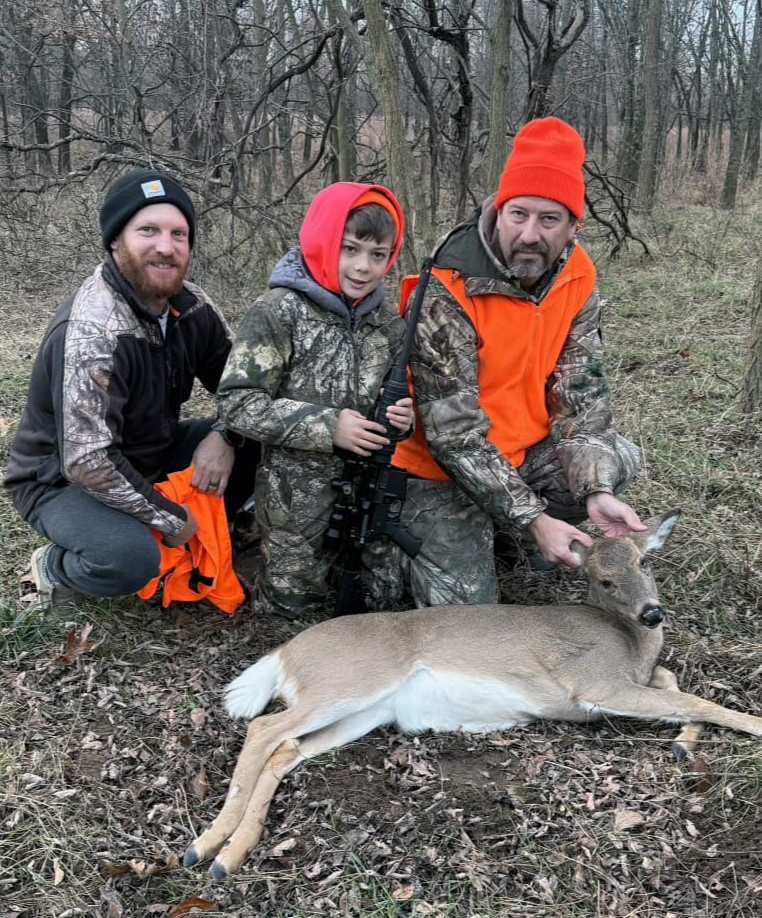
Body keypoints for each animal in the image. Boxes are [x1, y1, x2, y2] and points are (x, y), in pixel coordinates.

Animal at [183, 510, 762, 879]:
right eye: (603, 579)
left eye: (645, 561)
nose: (653, 613)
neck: (628, 644)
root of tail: (285, 652)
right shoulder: (593, 683)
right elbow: (693, 698)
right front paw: (751, 726)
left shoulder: (626, 681)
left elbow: (673, 685)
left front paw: (684, 744)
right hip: (347, 682)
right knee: (263, 727)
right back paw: (206, 843)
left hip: (363, 712)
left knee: (284, 749)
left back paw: (227, 856)